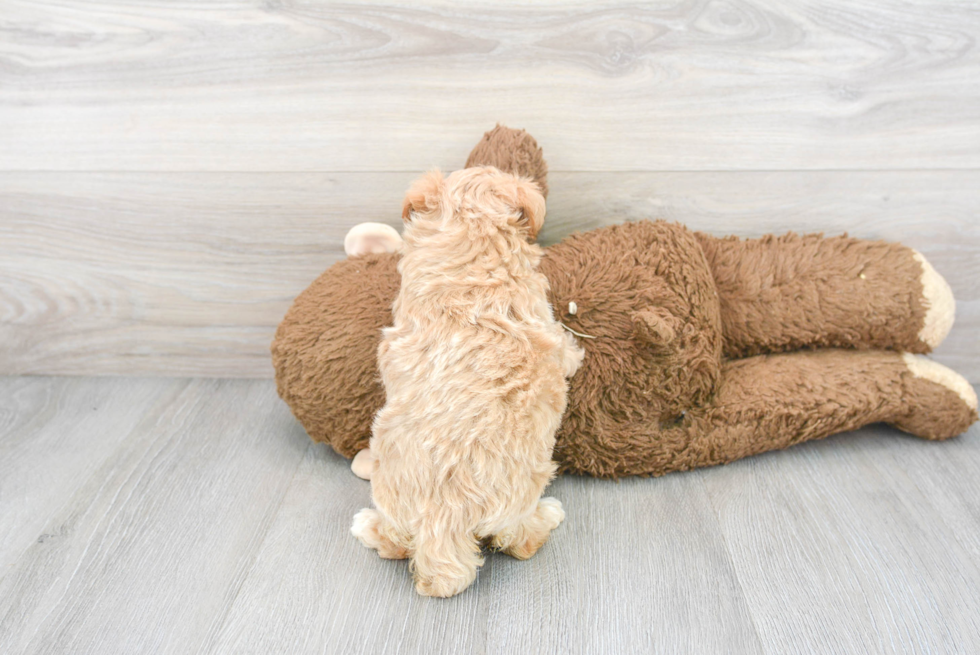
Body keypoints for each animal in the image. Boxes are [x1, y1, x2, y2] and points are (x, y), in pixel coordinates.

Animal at [352, 167, 580, 596]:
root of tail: (443, 518)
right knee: (518, 541)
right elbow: (565, 346)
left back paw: (368, 526)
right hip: (520, 497)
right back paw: (548, 515)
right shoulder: (544, 320)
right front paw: (578, 352)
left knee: (396, 541)